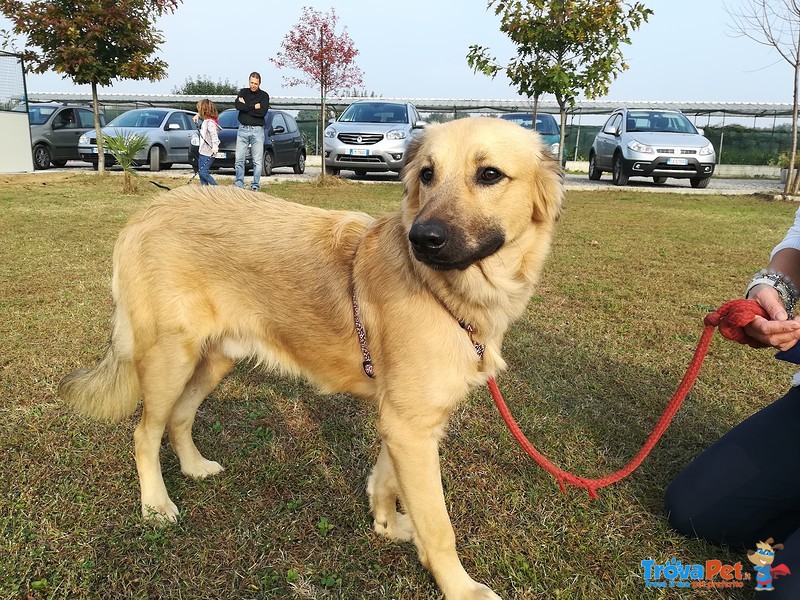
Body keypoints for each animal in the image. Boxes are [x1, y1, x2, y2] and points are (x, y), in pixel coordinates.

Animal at [61, 118, 564, 600]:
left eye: (489, 175)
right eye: (427, 174)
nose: (422, 239)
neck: (444, 291)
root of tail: (145, 214)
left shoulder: (404, 424)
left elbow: (386, 480)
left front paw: (387, 525)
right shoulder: (411, 427)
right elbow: (440, 527)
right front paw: (459, 587)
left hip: (213, 360)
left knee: (179, 417)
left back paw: (194, 467)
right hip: (170, 359)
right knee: (145, 432)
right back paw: (155, 505)